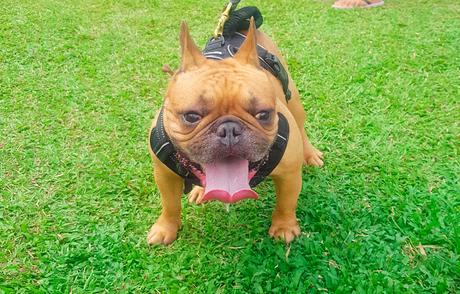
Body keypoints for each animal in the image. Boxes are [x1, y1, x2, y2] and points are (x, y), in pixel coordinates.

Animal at [147, 17, 324, 245]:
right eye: (191, 116)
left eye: (263, 114)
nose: (229, 129)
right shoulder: (164, 174)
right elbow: (170, 204)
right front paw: (165, 228)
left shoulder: (289, 175)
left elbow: (286, 204)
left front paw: (284, 227)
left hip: (294, 102)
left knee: (301, 127)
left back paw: (311, 155)